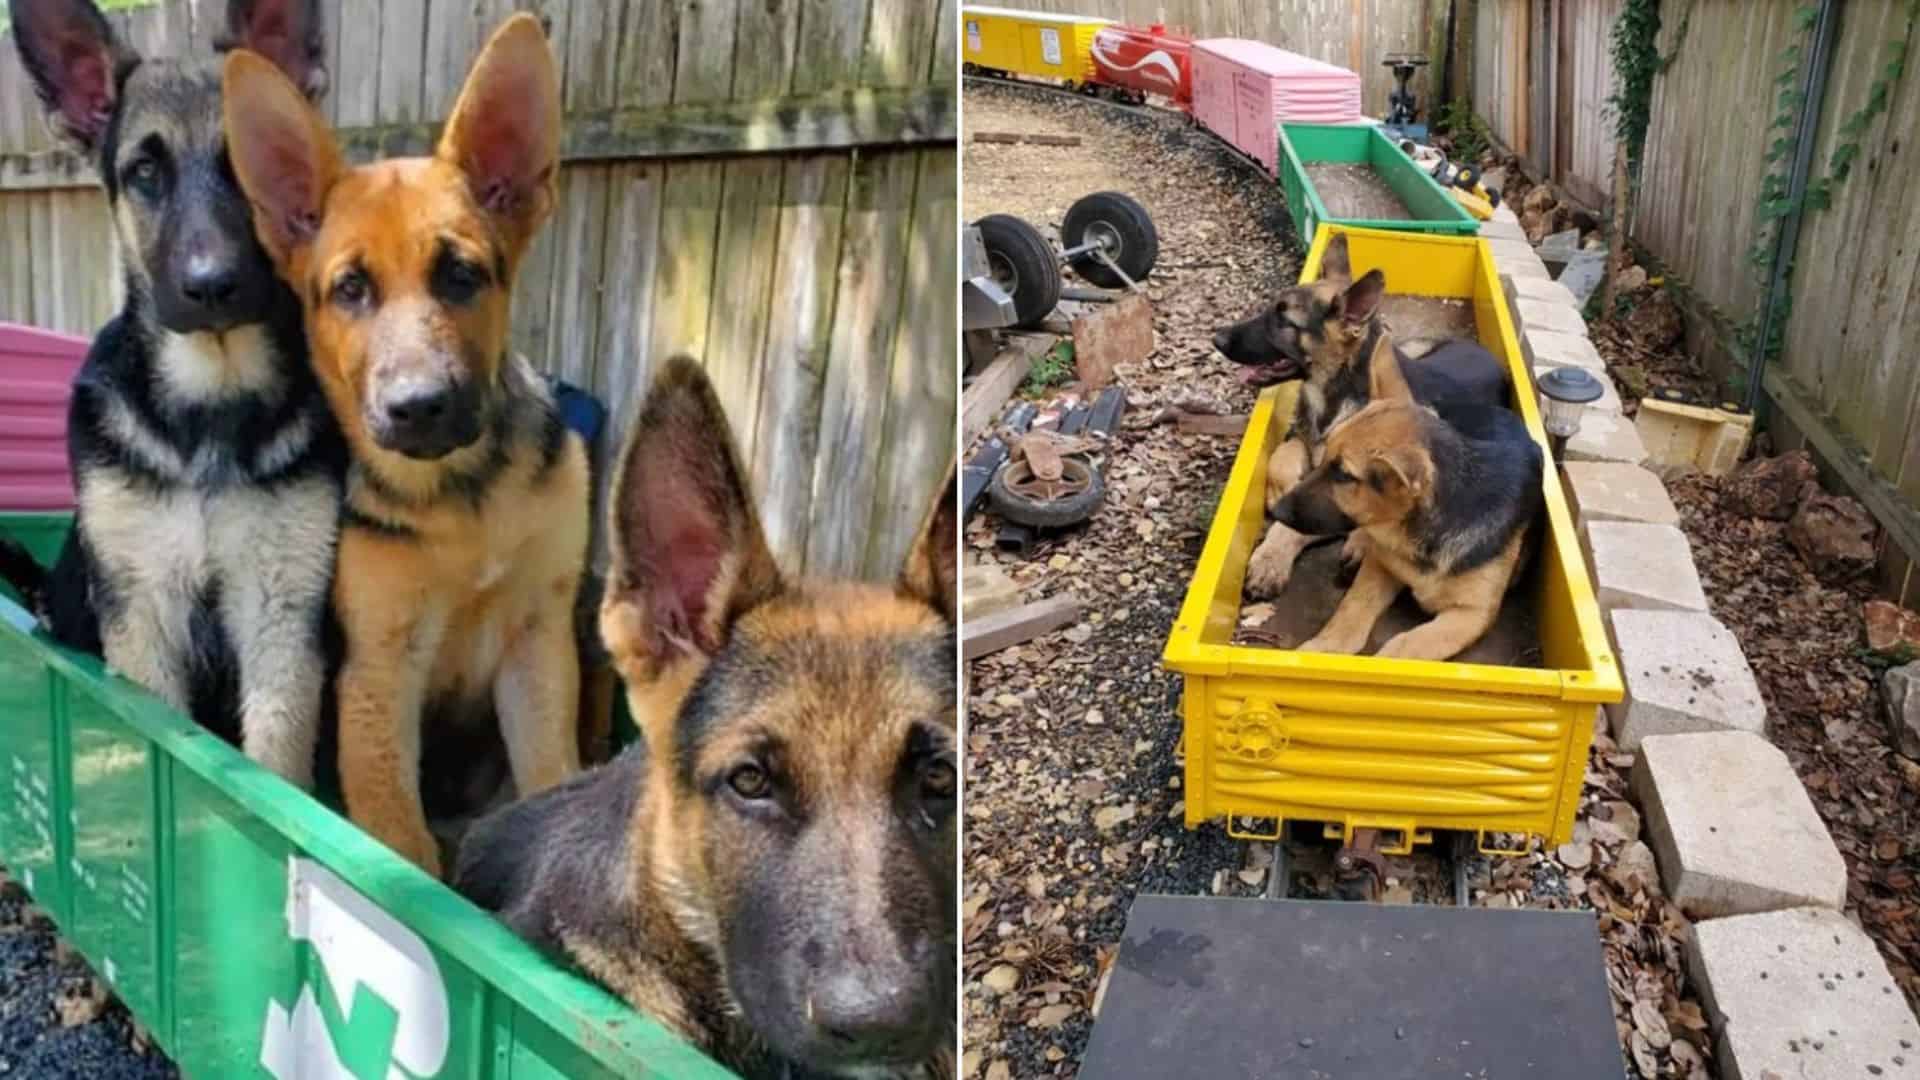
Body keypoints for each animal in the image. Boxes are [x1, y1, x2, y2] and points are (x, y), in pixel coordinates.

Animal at [7, 0, 343, 780]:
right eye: (144, 172)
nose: (211, 285)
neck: (211, 403)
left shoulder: (282, 615)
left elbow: (277, 764)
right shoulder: (143, 615)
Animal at [222, 12, 583, 876]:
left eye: (461, 274)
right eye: (350, 289)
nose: (417, 409)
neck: (461, 499)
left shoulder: (539, 645)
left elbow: (551, 779)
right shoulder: (380, 673)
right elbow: (399, 843)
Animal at [1213, 231, 1512, 595]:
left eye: (1284, 322)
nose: (1217, 338)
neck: (1336, 396)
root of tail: (1483, 351)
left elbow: (1301, 521)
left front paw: (1271, 558)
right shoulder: (1303, 440)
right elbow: (1282, 457)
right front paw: (1280, 489)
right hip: (1402, 347)